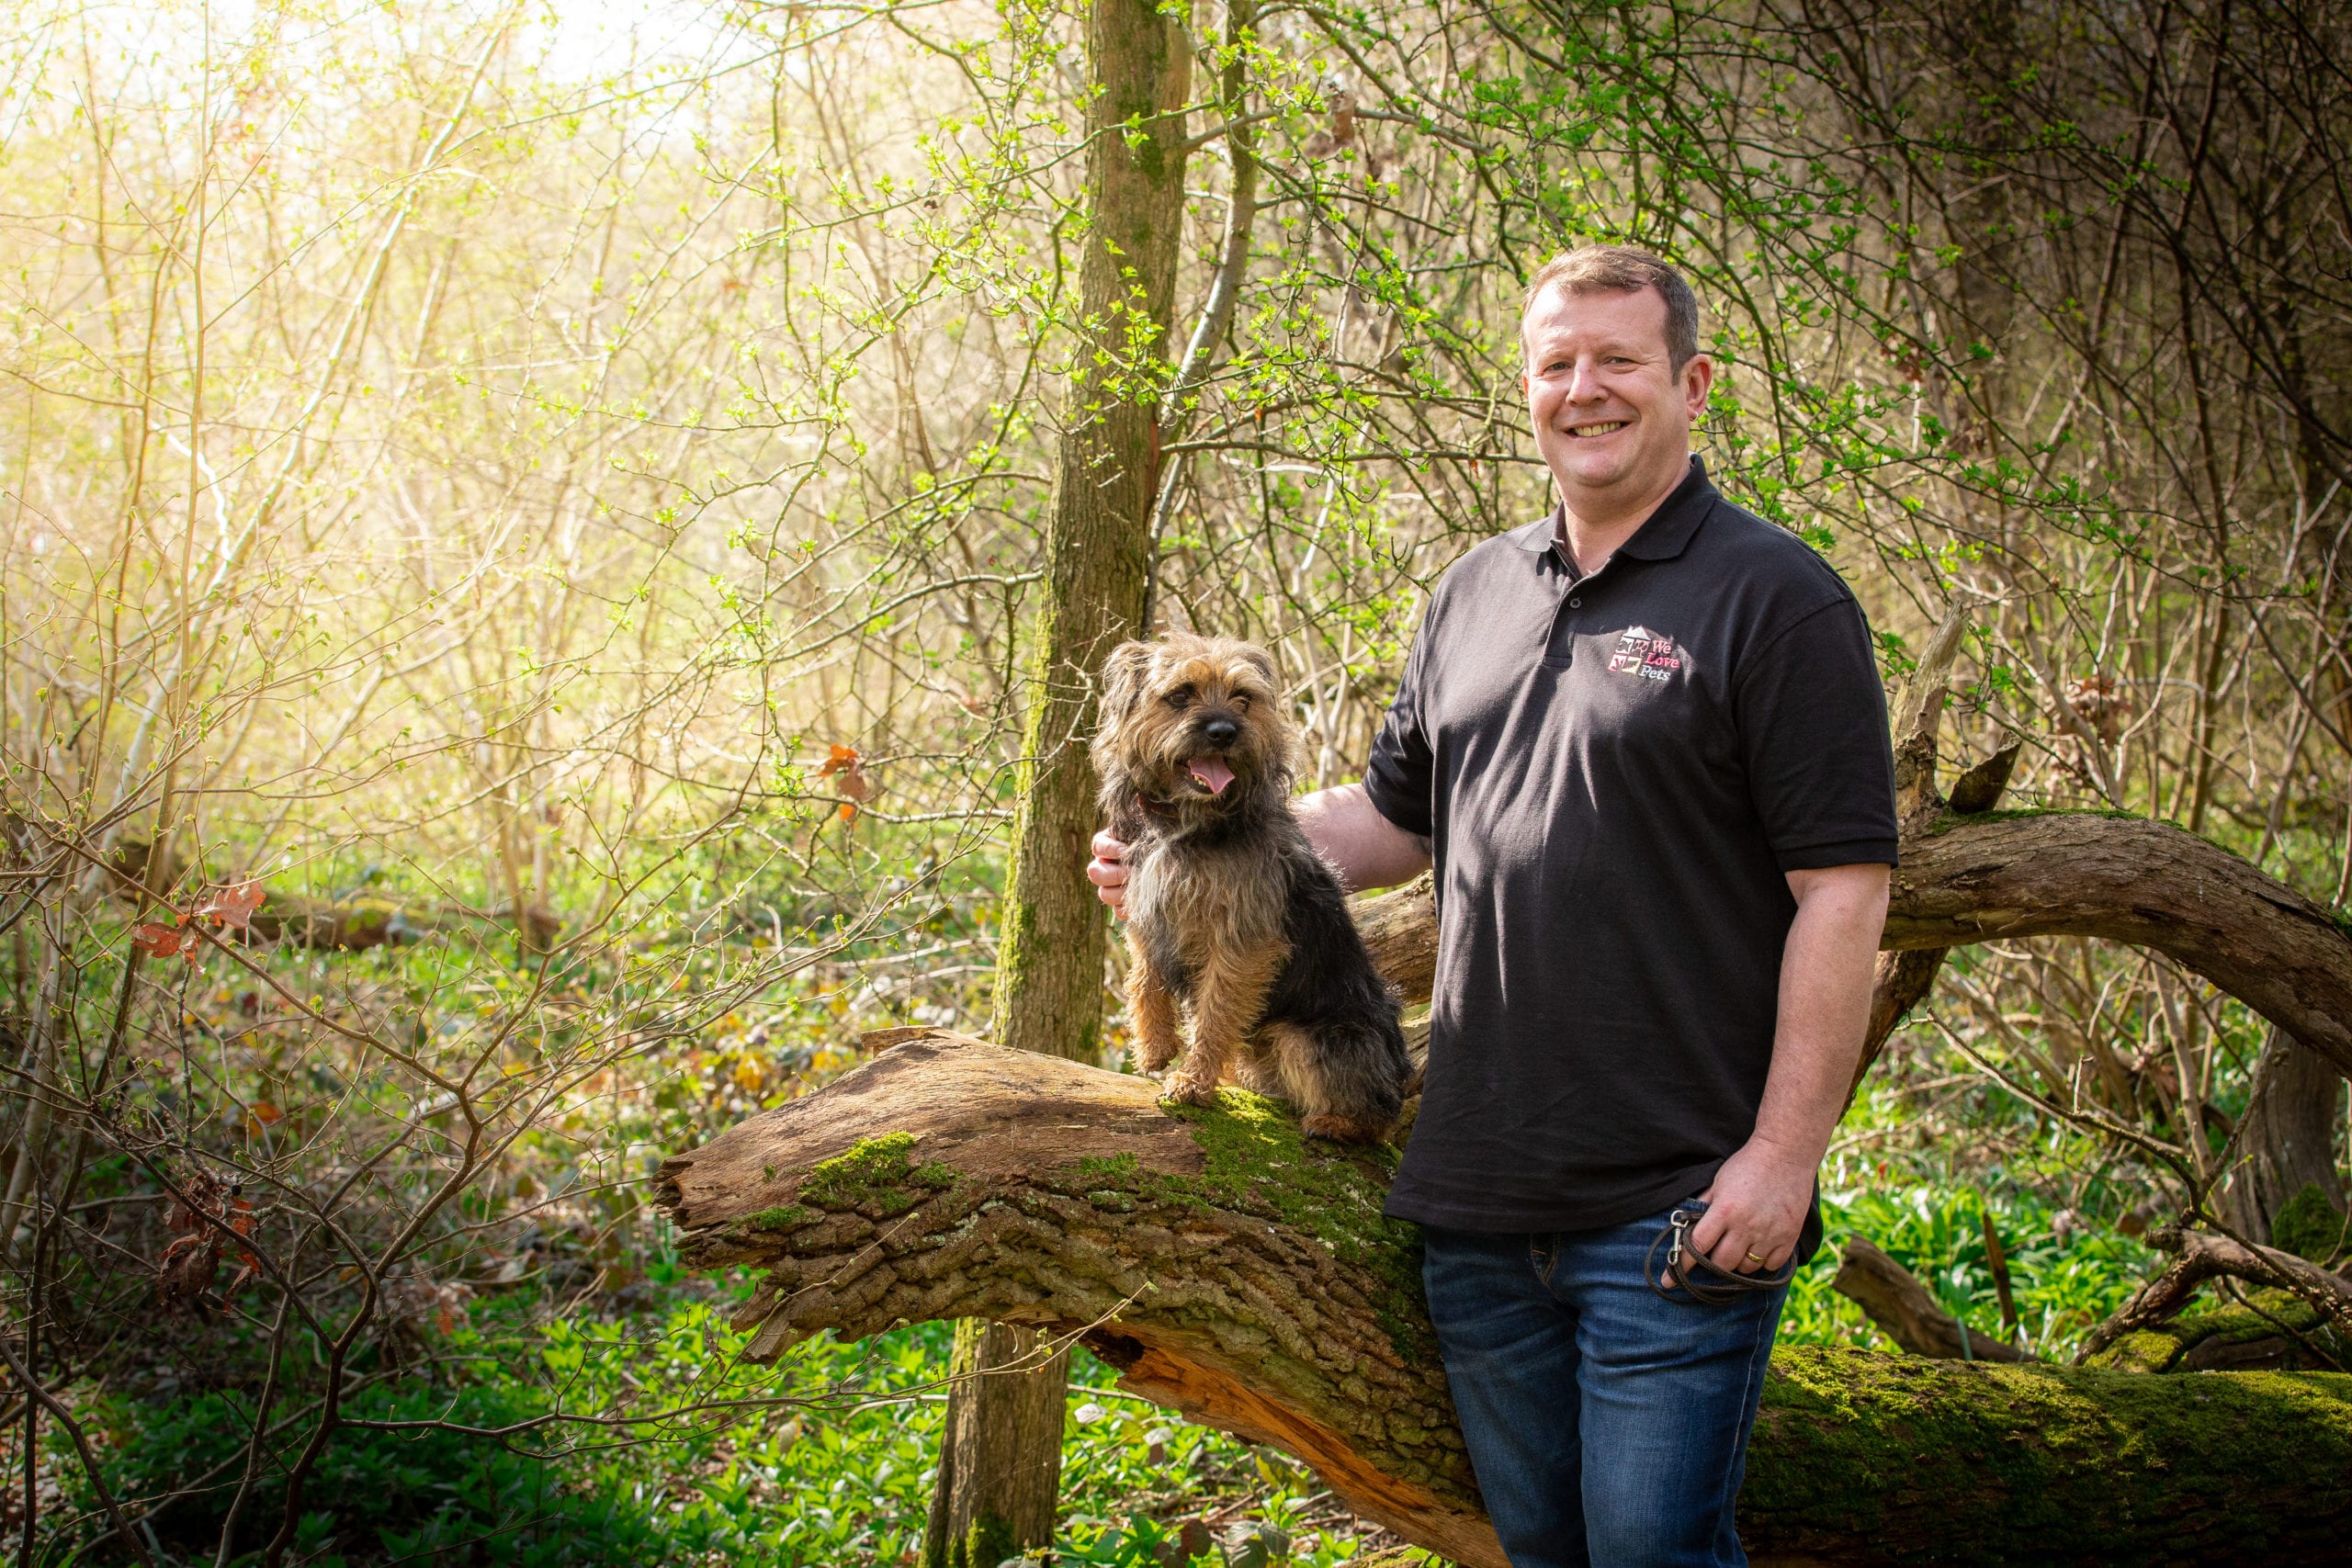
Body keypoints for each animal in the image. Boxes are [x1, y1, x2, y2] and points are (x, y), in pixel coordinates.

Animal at [1086, 634, 1401, 1142]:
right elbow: (1144, 977)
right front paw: (1154, 1045)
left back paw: (1336, 1122)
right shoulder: (1143, 905)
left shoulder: (1241, 941)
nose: (1224, 732)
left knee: (1375, 1113)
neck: (1188, 822)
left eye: (1243, 698)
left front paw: (1192, 1081)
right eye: (1181, 695)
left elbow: (1215, 1013)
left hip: (1310, 1037)